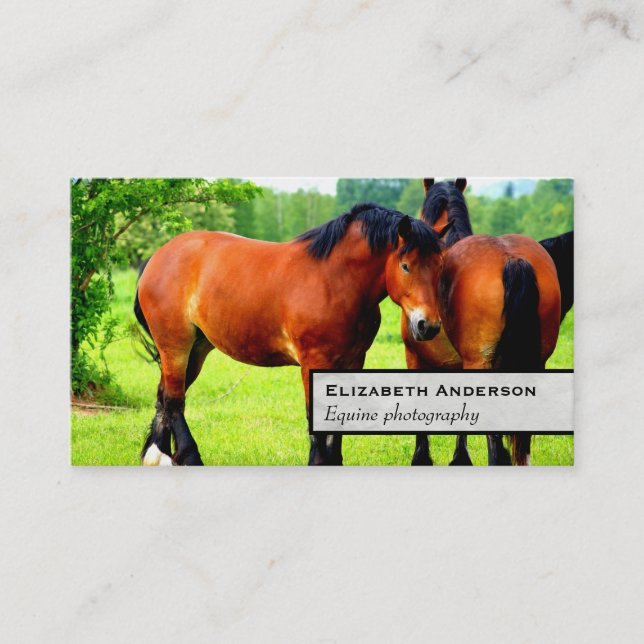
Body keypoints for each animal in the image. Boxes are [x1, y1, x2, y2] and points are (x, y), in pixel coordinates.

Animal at [134, 203, 446, 466]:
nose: (427, 325)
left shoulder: (353, 361)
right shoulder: (314, 362)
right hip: (176, 346)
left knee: (164, 396)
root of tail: (157, 257)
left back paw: (157, 455)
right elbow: (315, 419)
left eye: (439, 266)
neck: (335, 280)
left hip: (196, 350)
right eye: (406, 266)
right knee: (174, 401)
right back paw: (186, 457)